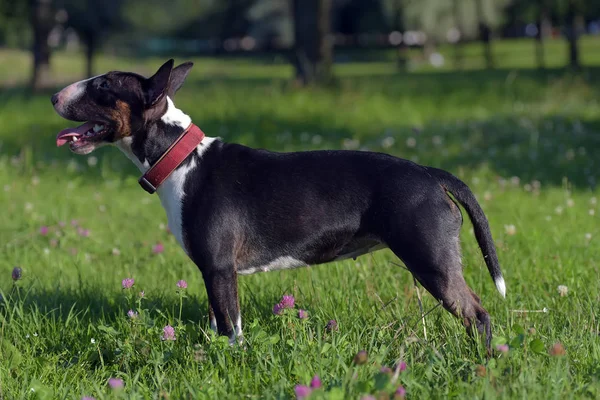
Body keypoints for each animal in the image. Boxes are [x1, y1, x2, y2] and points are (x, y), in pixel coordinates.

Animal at [50, 59, 506, 350]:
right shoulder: (213, 271)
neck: (180, 158)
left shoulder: (220, 268)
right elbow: (216, 322)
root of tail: (432, 174)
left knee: (478, 315)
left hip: (431, 260)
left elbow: (231, 329)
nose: (54, 96)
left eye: (104, 85)